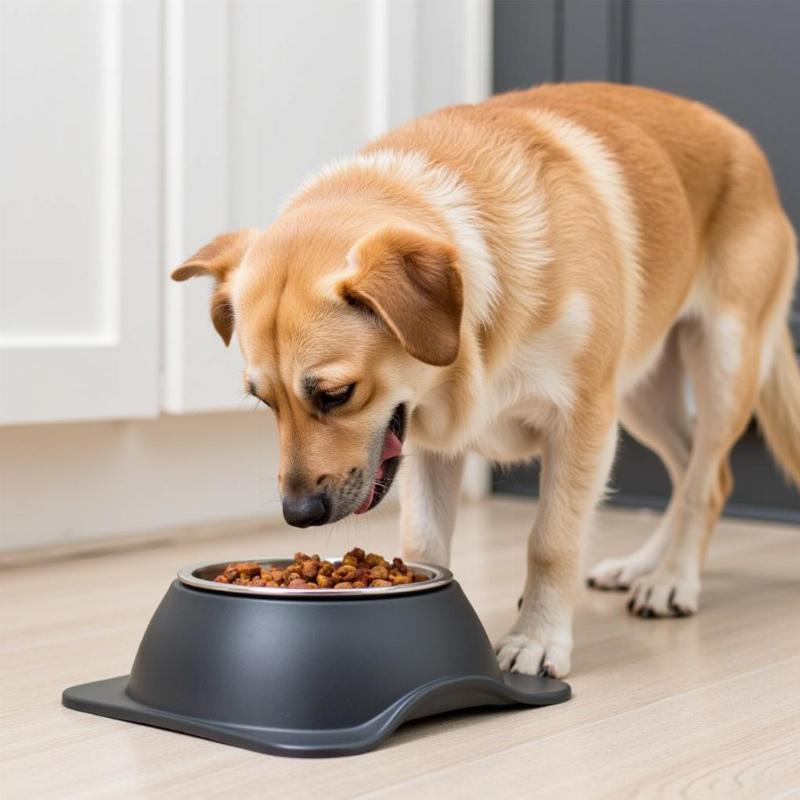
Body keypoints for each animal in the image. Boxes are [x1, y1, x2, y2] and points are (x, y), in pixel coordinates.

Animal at [173, 83, 800, 676]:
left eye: (336, 394)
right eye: (264, 402)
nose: (298, 515)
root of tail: (741, 138)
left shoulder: (582, 422)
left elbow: (551, 540)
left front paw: (537, 638)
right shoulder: (431, 443)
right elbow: (424, 543)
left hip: (721, 361)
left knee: (703, 481)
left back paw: (673, 580)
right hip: (644, 393)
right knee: (697, 469)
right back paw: (642, 566)